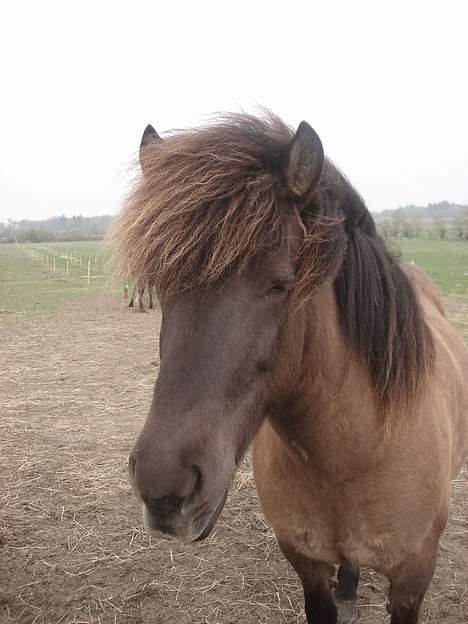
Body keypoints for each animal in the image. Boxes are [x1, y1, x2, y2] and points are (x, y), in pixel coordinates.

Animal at [110, 113, 468, 624]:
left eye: (279, 284)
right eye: (160, 286)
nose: (163, 489)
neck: (351, 455)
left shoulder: (412, 579)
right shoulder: (306, 565)